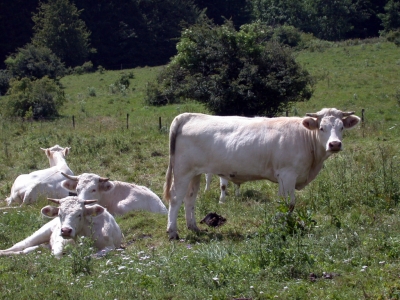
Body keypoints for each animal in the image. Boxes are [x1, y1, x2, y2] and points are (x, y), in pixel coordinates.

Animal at [164, 108, 360, 239]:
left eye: (342, 127)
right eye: (321, 128)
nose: (334, 144)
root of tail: (189, 116)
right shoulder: (287, 174)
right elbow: (288, 204)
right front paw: (283, 227)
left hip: (195, 173)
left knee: (190, 198)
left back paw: (193, 227)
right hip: (182, 171)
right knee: (176, 198)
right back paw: (173, 232)